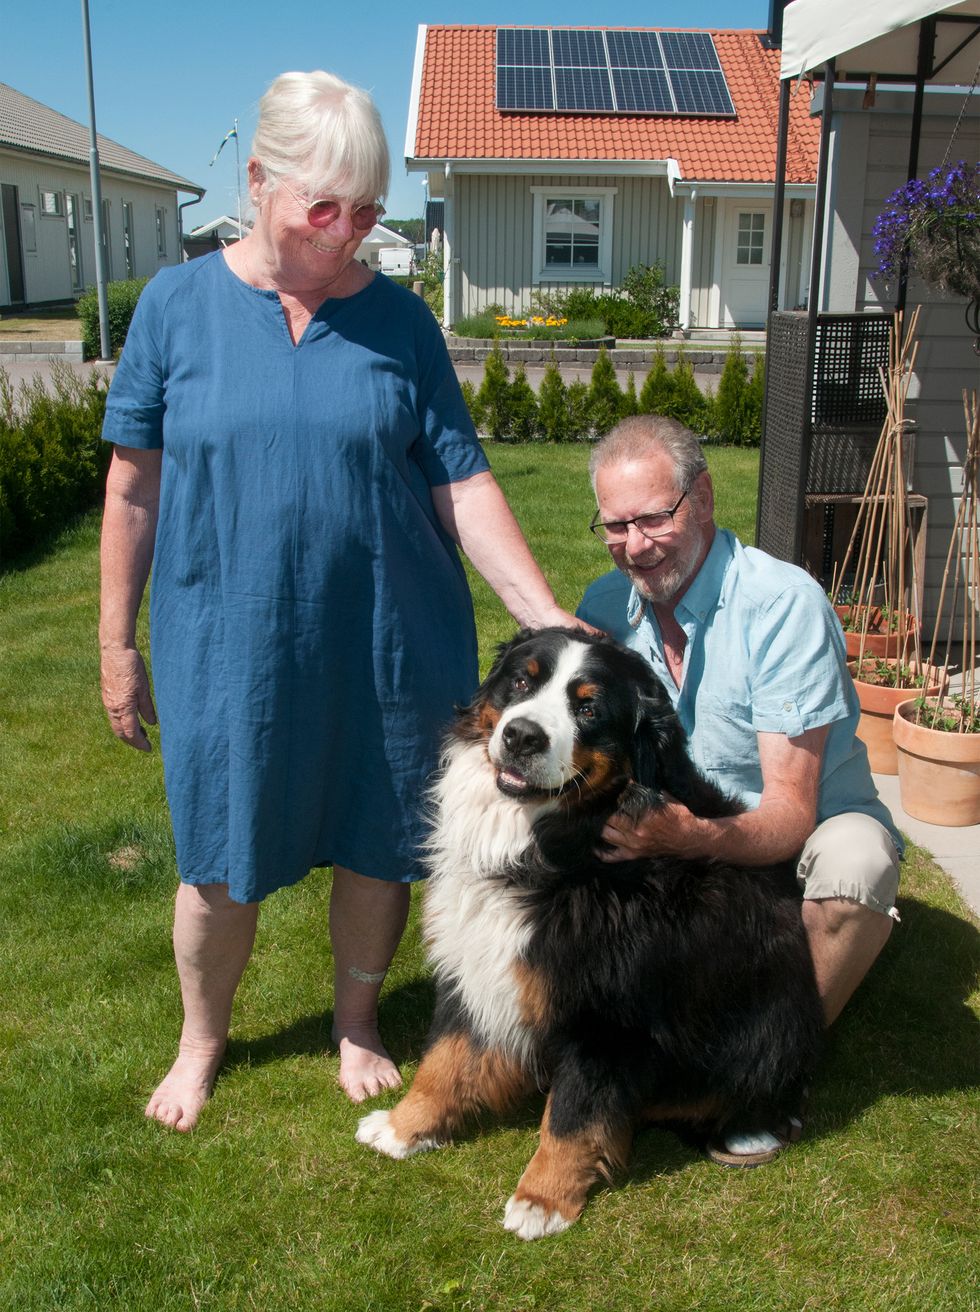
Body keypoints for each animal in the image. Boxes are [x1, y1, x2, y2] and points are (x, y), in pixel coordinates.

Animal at [356, 624, 823, 1238]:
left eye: (589, 708)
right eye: (522, 681)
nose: (522, 737)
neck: (550, 842)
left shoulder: (605, 1015)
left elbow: (571, 1116)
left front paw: (542, 1199)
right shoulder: (476, 964)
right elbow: (445, 1059)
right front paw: (402, 1127)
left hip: (769, 1032)